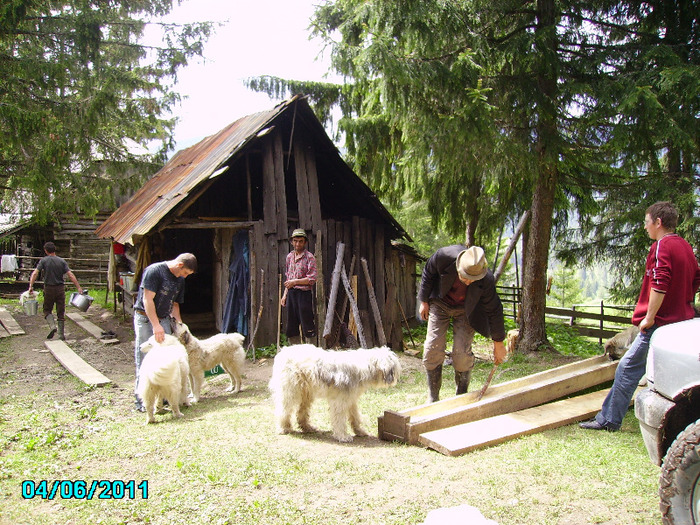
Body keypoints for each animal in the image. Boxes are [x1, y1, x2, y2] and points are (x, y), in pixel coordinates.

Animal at [268, 346, 402, 440]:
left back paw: (307, 427)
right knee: (283, 410)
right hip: (291, 392)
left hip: (306, 394)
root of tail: (283, 351)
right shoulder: (340, 402)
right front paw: (342, 436)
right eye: (394, 368)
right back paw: (283, 428)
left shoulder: (351, 400)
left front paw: (359, 431)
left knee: (301, 412)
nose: (395, 379)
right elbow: (339, 420)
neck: (363, 368)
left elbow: (355, 417)